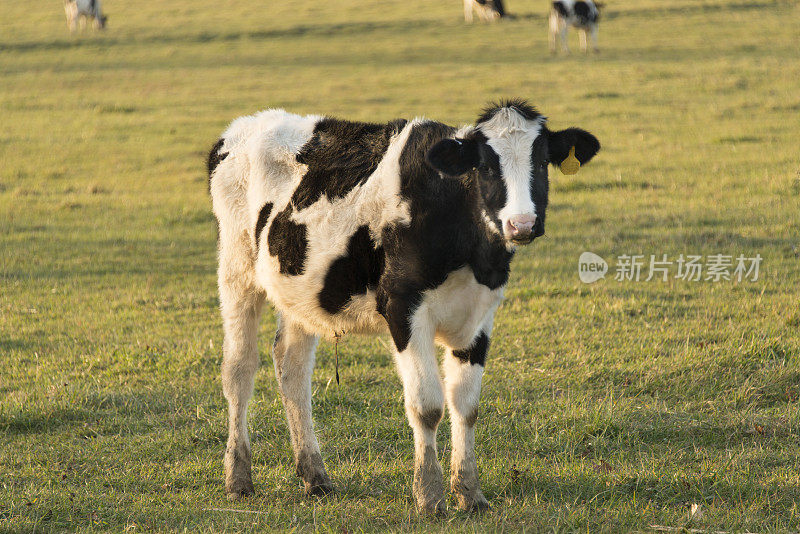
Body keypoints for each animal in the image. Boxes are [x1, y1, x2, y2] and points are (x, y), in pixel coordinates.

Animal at [209, 99, 596, 516]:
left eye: (540, 161)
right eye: (486, 165)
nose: (521, 224)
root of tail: (247, 124)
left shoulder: (480, 314)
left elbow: (466, 405)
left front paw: (470, 493)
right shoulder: (402, 307)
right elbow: (427, 405)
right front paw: (430, 497)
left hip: (302, 290)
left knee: (292, 368)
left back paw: (315, 476)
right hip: (236, 270)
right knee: (239, 369)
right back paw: (238, 478)